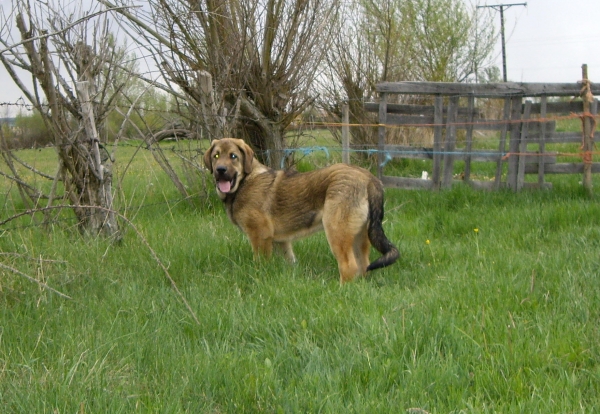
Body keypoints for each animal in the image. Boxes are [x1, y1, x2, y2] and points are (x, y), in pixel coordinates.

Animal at [204, 137, 400, 284]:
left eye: (233, 156)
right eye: (216, 155)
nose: (220, 170)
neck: (244, 182)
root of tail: (368, 178)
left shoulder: (260, 236)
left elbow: (260, 263)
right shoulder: (281, 242)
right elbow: (290, 261)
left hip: (337, 231)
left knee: (349, 267)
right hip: (360, 236)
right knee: (363, 265)